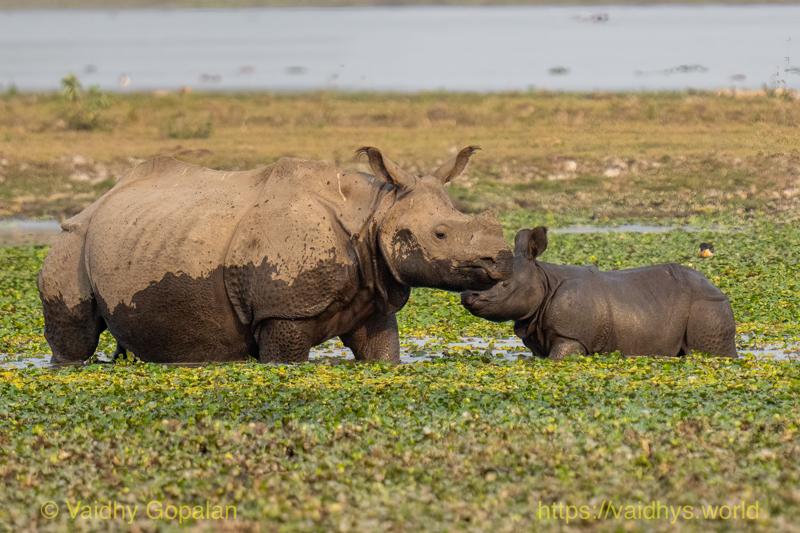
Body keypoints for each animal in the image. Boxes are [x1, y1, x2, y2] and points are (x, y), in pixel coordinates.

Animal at [38, 147, 512, 364]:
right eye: (440, 233)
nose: (502, 261)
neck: (375, 211)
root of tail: (96, 201)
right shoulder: (282, 311)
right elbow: (285, 358)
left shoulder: (374, 297)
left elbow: (382, 354)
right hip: (72, 242)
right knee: (75, 336)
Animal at [461, 227, 737, 358]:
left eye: (505, 285)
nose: (466, 296)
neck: (543, 279)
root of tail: (716, 287)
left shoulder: (571, 337)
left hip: (708, 305)